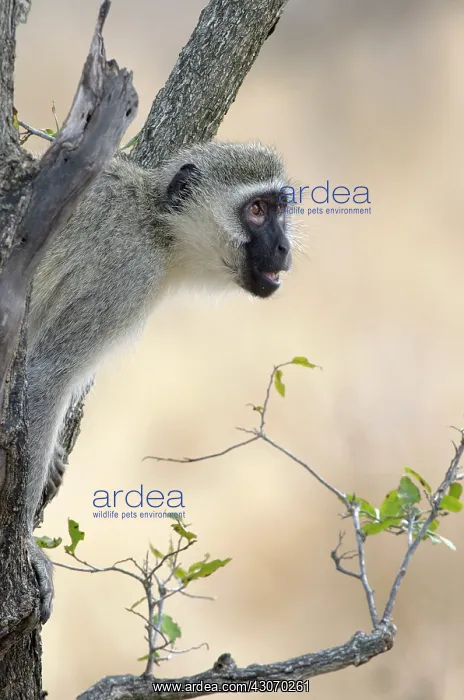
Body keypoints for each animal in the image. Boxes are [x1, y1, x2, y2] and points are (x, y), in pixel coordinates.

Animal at [25, 140, 293, 623]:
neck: (157, 225)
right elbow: (44, 375)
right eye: (256, 210)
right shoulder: (127, 276)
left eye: (281, 208)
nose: (284, 247)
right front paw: (25, 546)